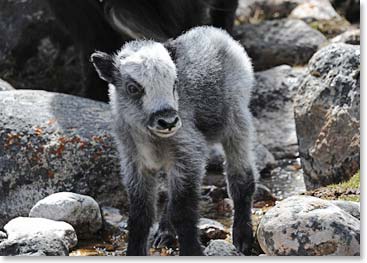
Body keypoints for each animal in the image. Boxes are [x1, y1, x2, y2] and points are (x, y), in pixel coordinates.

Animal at [91, 26, 258, 256]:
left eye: (175, 83)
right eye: (133, 88)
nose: (168, 121)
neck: (152, 139)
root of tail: (215, 32)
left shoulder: (189, 151)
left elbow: (183, 212)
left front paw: (192, 252)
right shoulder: (135, 162)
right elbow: (140, 215)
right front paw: (135, 251)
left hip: (237, 118)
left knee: (241, 178)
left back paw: (243, 237)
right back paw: (164, 233)